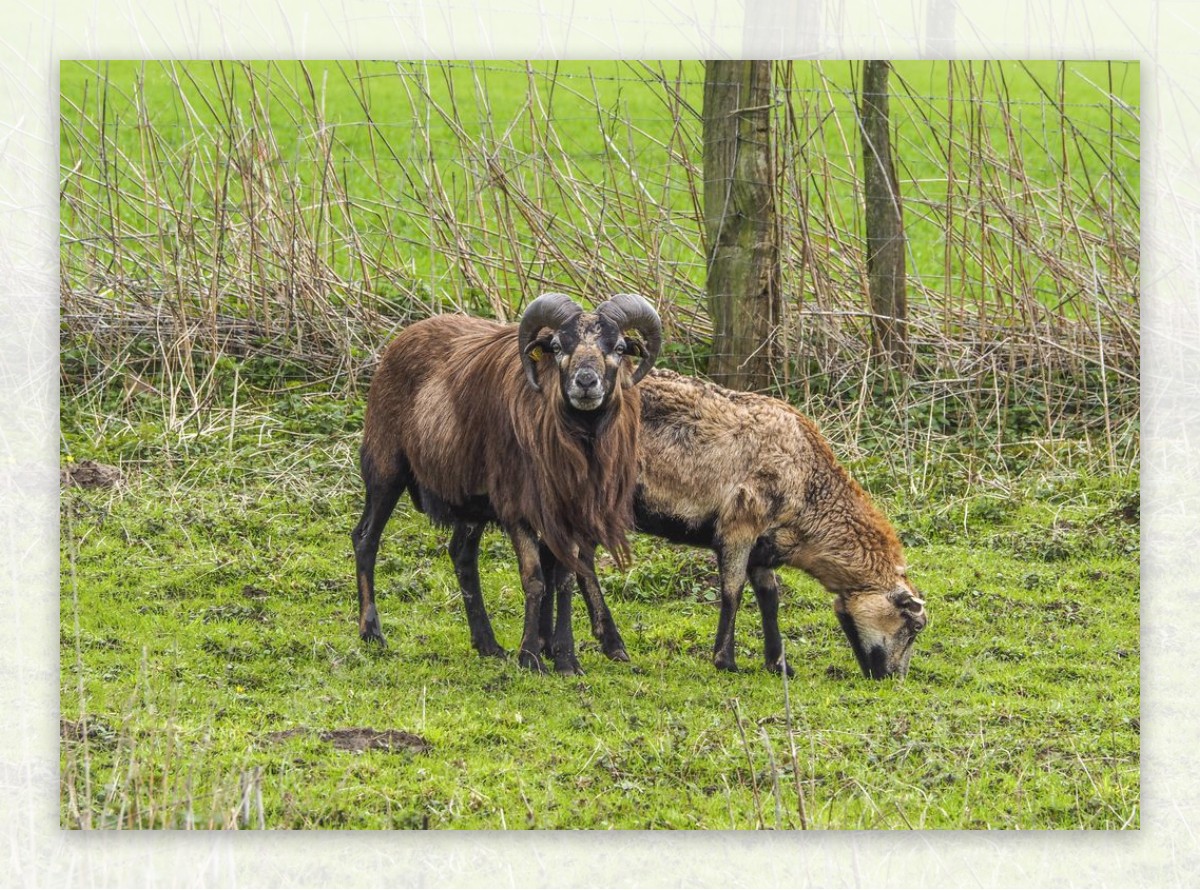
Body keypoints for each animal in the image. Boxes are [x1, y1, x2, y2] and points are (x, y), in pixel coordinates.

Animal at [350, 295, 662, 676]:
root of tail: (402, 339)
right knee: (366, 539)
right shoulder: (519, 508)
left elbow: (567, 577)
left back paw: (488, 644)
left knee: (462, 555)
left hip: (471, 501)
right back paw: (372, 633)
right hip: (386, 467)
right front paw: (531, 657)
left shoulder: (569, 511)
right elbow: (535, 578)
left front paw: (565, 658)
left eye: (618, 347)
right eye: (557, 346)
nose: (586, 382)